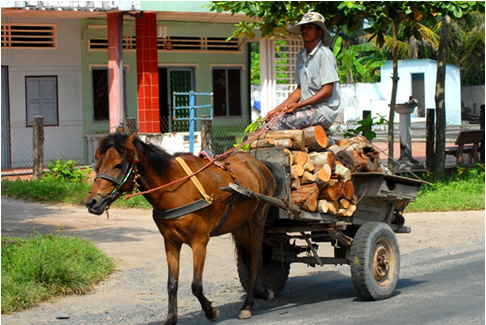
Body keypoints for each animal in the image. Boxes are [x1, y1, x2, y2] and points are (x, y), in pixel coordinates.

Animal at [82, 131, 276, 322]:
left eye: (117, 165)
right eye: (97, 165)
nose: (91, 202)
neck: (174, 188)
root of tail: (259, 164)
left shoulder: (199, 243)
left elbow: (196, 285)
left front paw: (211, 312)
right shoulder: (171, 242)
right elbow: (171, 283)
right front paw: (171, 318)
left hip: (257, 219)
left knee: (256, 258)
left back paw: (248, 305)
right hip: (240, 226)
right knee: (250, 256)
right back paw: (262, 291)